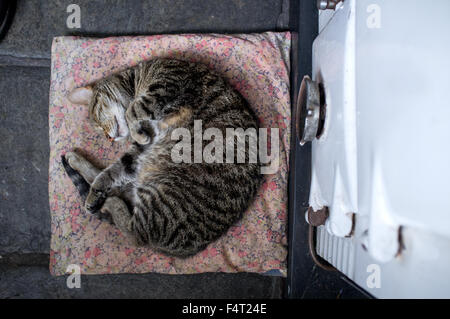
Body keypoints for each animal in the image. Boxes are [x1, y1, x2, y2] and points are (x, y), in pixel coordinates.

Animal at [61, 57, 262, 258]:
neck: (136, 79)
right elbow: (110, 173)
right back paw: (81, 170)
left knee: (134, 233)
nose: (109, 138)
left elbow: (132, 110)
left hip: (162, 197)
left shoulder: (167, 83)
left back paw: (109, 202)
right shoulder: (142, 146)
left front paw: (135, 127)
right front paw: (95, 192)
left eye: (97, 121)